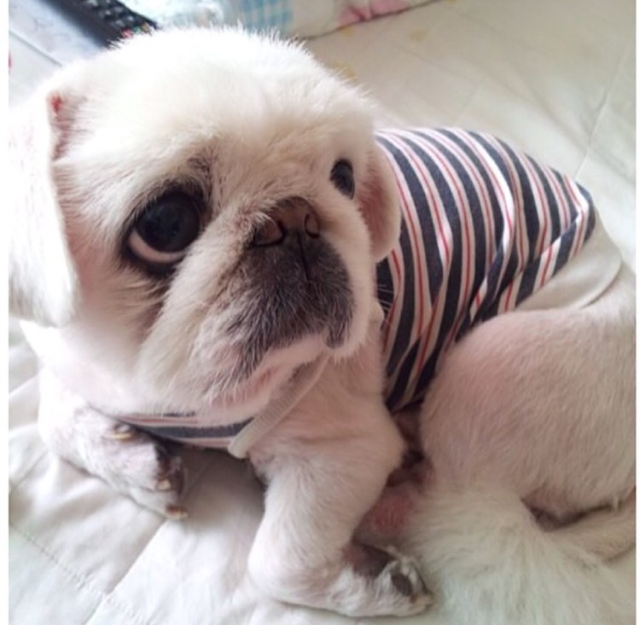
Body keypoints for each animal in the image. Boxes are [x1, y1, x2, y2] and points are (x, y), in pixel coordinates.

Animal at [9, 28, 635, 622]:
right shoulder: (65, 353)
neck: (161, 387)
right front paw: (131, 463)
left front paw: (373, 583)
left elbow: (277, 561)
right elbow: (51, 413)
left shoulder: (344, 451)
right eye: (166, 223)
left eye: (343, 178)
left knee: (469, 509)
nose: (294, 217)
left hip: (487, 363)